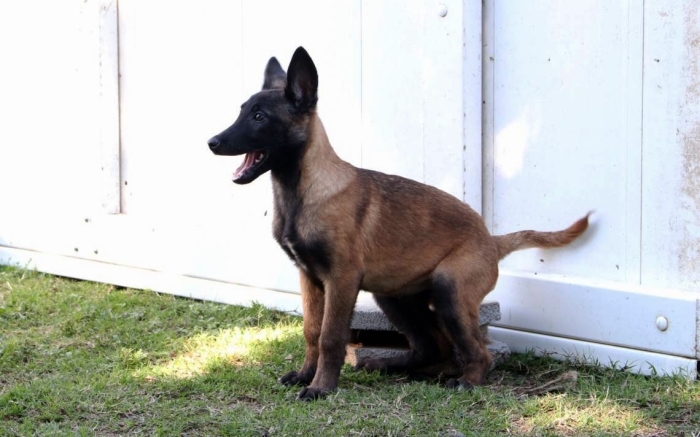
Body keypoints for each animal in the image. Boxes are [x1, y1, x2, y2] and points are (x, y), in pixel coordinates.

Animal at [206, 46, 584, 398]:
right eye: (242, 111)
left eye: (259, 117)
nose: (211, 142)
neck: (301, 191)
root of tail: (491, 239)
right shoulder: (309, 277)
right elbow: (311, 331)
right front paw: (304, 375)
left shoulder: (341, 278)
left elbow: (330, 336)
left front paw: (321, 387)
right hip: (394, 298)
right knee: (433, 346)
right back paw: (387, 365)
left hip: (450, 291)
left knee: (477, 351)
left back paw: (466, 381)